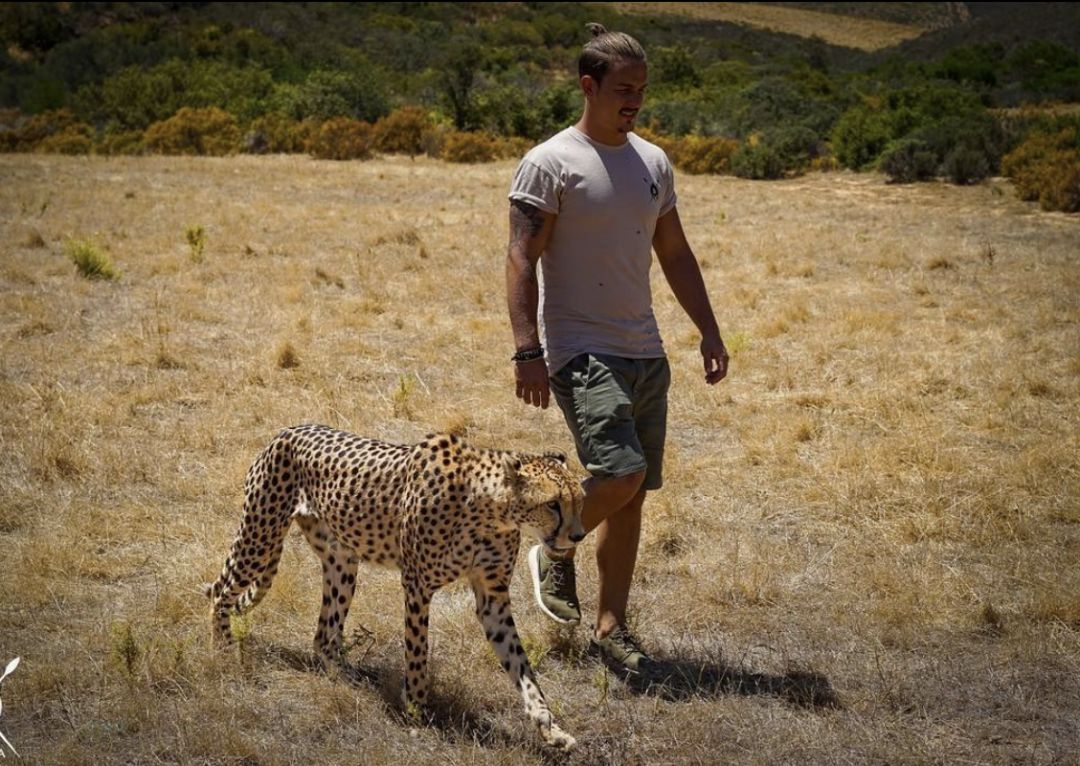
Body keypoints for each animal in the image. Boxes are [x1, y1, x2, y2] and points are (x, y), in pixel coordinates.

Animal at [206, 427, 587, 751]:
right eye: (553, 504)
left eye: (579, 500)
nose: (579, 535)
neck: (490, 510)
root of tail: (287, 431)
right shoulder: (417, 586)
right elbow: (417, 655)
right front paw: (417, 713)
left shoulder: (492, 597)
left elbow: (522, 667)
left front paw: (548, 726)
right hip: (260, 539)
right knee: (218, 593)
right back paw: (222, 647)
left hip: (342, 562)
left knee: (323, 634)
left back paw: (349, 676)